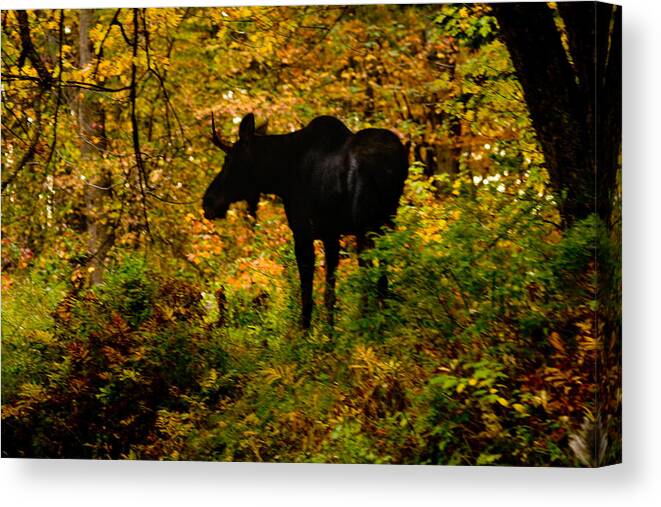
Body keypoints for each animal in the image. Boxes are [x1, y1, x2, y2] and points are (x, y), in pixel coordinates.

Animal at [201, 112, 408, 330]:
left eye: (230, 160)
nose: (208, 201)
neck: (281, 179)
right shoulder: (331, 234)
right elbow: (329, 293)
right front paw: (329, 332)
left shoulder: (303, 233)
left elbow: (307, 295)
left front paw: (305, 333)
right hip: (387, 223)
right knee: (383, 274)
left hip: (365, 225)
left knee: (368, 272)